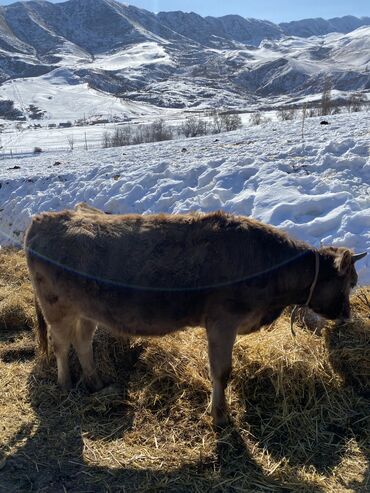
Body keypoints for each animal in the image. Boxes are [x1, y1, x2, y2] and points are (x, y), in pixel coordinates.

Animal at [24, 206, 366, 424]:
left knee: (82, 342)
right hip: (56, 307)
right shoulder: (222, 322)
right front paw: (220, 416)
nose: (347, 315)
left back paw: (95, 383)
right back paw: (65, 384)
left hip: (87, 310)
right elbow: (222, 371)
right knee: (60, 344)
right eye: (350, 282)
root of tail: (43, 218)